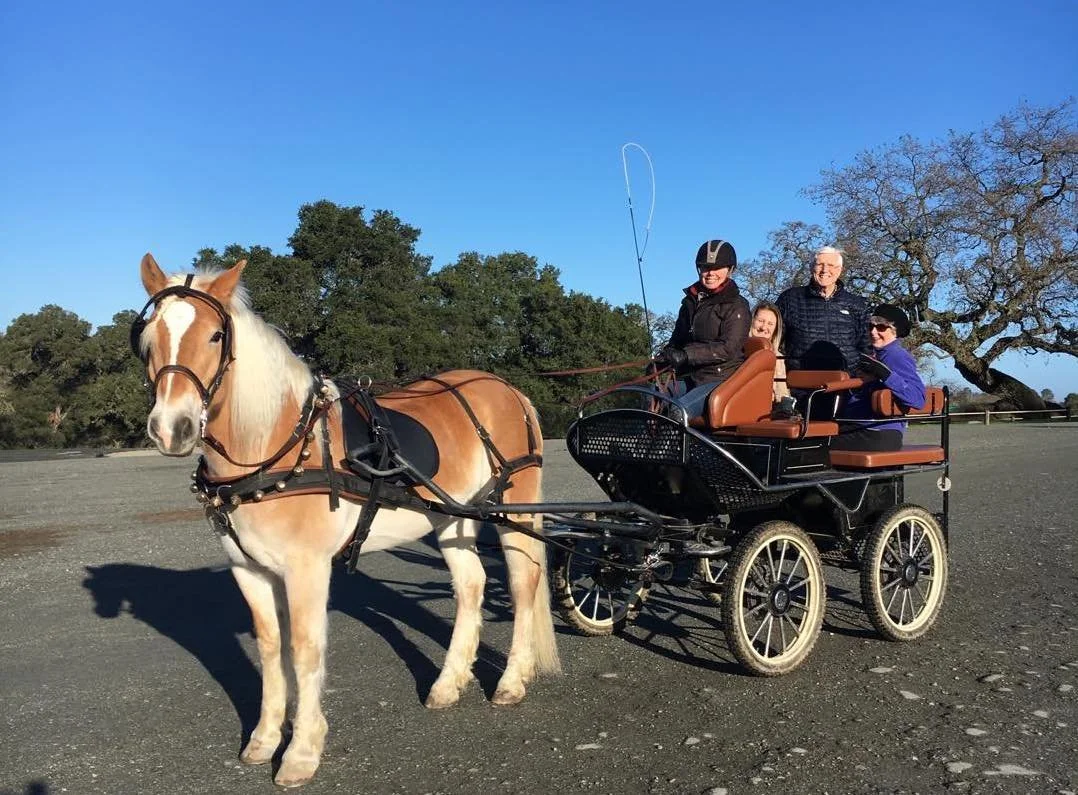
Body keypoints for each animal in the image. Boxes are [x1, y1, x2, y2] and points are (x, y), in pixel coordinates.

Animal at [132, 253, 560, 787]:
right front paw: (266, 737)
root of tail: (507, 389)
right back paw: (448, 682)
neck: (277, 445)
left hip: (510, 507)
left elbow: (305, 648)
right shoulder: (248, 570)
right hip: (454, 515)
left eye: (215, 336)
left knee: (522, 583)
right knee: (471, 585)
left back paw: (511, 680)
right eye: (149, 338)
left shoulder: (307, 567)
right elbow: (271, 647)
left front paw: (301, 750)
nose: (173, 428)